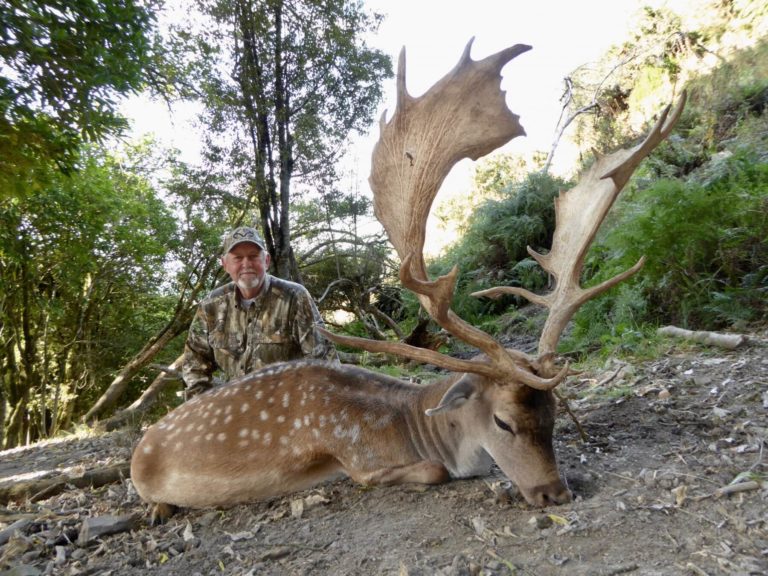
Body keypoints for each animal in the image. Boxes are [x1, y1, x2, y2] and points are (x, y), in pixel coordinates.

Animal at [130, 39, 686, 523]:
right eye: (503, 421)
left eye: (553, 415)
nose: (554, 492)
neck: (411, 422)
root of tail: (139, 446)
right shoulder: (357, 458)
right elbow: (430, 471)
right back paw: (158, 510)